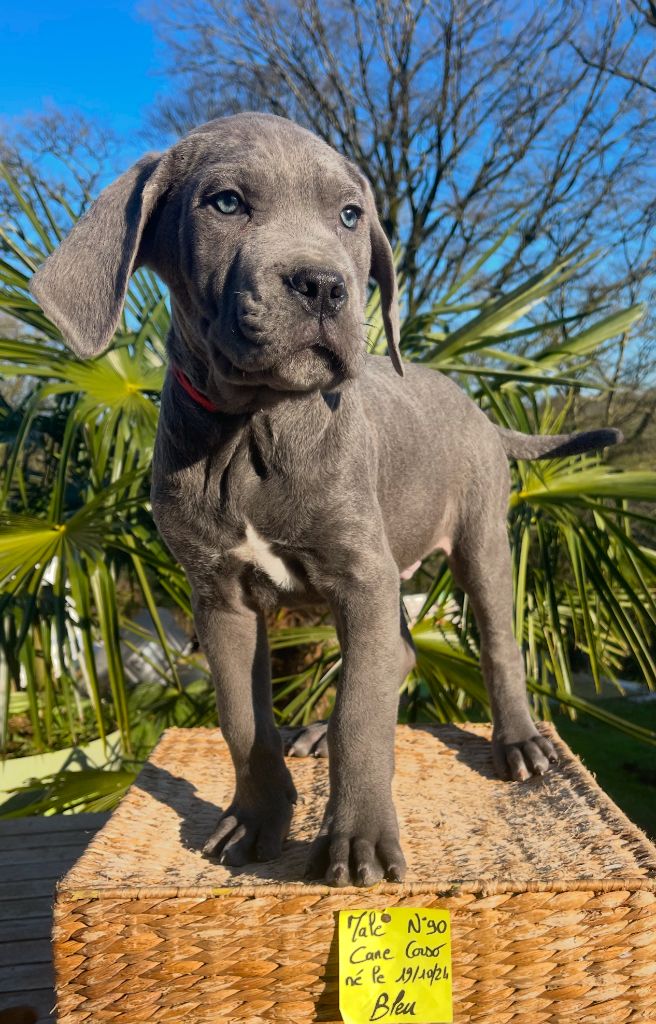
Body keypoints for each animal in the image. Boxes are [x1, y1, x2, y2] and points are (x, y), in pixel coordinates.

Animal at [30, 114, 618, 888]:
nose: (323, 286)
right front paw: (255, 821)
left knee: (493, 641)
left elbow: (360, 717)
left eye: (349, 216)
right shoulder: (220, 597)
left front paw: (358, 835)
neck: (253, 428)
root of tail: (478, 409)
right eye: (225, 203)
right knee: (398, 651)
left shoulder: (359, 573)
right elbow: (245, 722)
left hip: (480, 541)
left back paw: (519, 741)